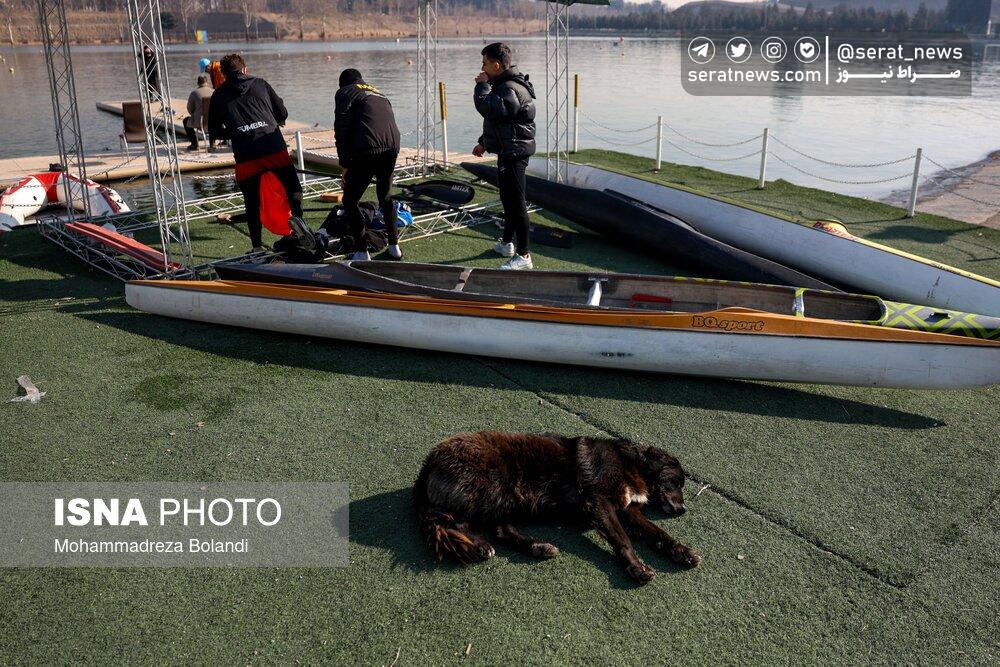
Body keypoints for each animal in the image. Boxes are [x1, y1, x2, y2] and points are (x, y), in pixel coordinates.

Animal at [413, 431, 701, 584]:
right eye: (677, 482)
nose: (683, 509)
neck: (630, 462)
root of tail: (428, 463)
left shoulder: (627, 509)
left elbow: (658, 533)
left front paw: (682, 552)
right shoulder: (598, 502)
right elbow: (623, 539)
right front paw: (637, 568)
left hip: (504, 500)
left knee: (501, 531)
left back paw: (537, 546)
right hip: (489, 488)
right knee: (451, 522)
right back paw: (480, 546)